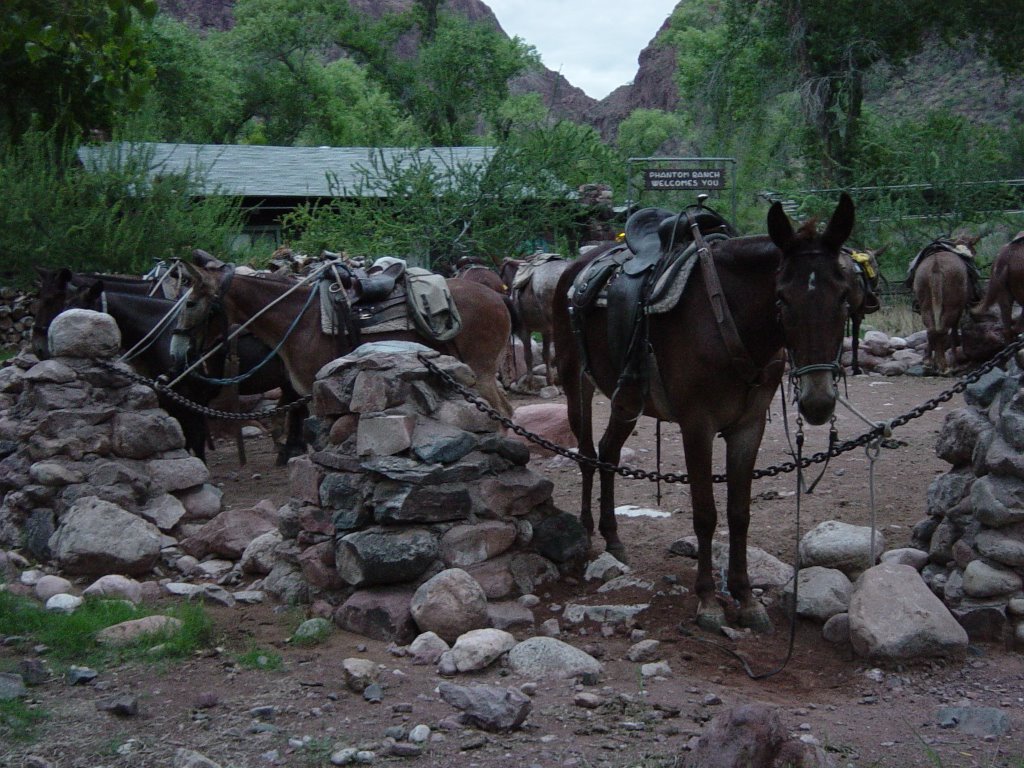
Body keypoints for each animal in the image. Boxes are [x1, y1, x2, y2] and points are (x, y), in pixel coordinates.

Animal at [171, 259, 516, 421]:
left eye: (190, 303)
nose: (176, 352)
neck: (299, 318)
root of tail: (498, 297)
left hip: (482, 370)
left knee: (503, 412)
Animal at [495, 256, 569, 391]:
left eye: (501, 274)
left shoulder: (525, 331)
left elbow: (528, 355)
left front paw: (530, 383)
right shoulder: (546, 330)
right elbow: (546, 354)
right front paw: (550, 380)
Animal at [552, 195, 856, 634]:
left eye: (844, 296)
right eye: (781, 298)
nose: (818, 402)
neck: (728, 316)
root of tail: (574, 268)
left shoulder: (749, 426)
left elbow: (739, 513)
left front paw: (746, 599)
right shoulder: (697, 426)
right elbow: (706, 514)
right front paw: (709, 601)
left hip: (627, 401)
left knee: (608, 452)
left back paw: (613, 539)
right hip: (576, 383)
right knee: (588, 455)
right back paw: (588, 532)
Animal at [913, 237, 974, 376]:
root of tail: (936, 264)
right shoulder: (958, 311)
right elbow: (954, 334)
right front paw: (954, 364)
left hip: (927, 305)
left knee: (932, 330)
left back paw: (931, 364)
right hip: (952, 307)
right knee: (943, 331)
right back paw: (945, 367)